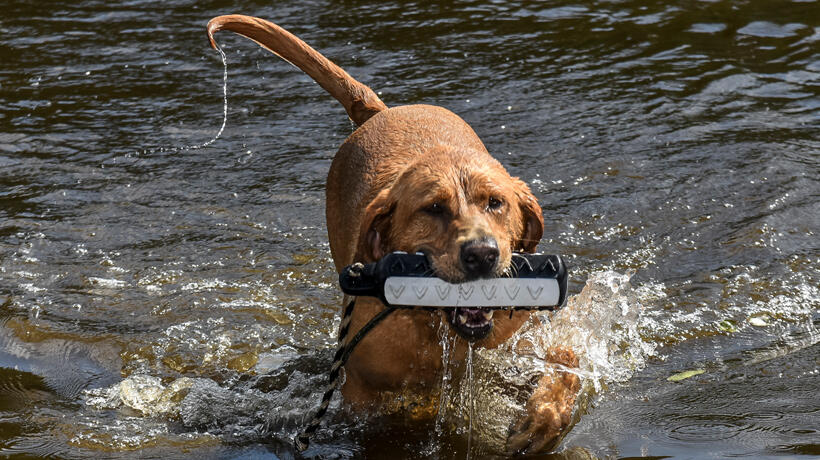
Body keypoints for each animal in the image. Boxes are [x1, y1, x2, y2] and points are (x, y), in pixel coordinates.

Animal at [208, 14, 580, 452]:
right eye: (433, 208)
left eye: (495, 202)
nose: (482, 254)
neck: (438, 326)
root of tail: (379, 111)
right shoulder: (361, 392)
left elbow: (566, 367)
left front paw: (540, 422)